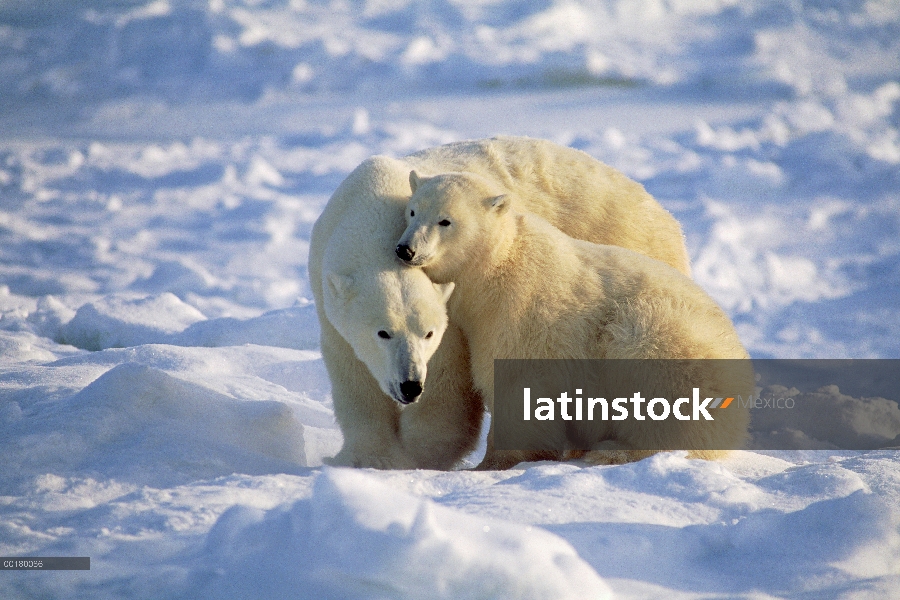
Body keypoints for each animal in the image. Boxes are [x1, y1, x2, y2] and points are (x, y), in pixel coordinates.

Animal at [310, 136, 688, 468]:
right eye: (382, 333)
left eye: (428, 333)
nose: (410, 385)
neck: (369, 204)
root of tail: (667, 217)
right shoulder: (328, 299)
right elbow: (354, 378)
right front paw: (368, 457)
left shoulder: (455, 316)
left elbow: (449, 384)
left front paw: (416, 457)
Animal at [398, 171, 756, 472]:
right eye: (413, 211)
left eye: (446, 221)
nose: (406, 249)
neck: (495, 268)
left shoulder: (521, 313)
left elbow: (517, 386)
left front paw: (491, 464)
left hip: (661, 340)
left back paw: (612, 450)